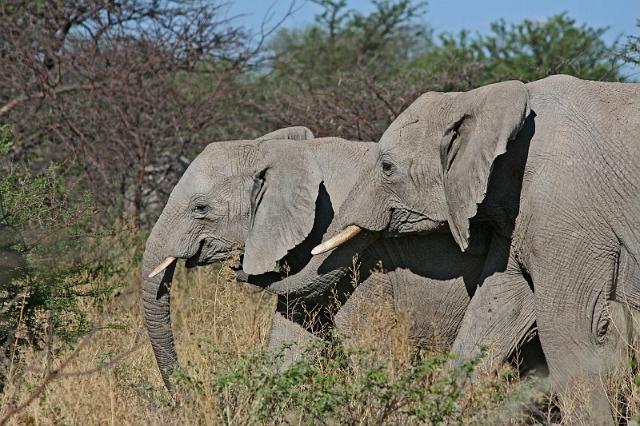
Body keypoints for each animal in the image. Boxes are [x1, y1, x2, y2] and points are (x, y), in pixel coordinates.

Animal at [142, 128, 512, 392]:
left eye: (200, 208)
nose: (192, 389)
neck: (286, 154)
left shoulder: (362, 256)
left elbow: (365, 337)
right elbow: (292, 332)